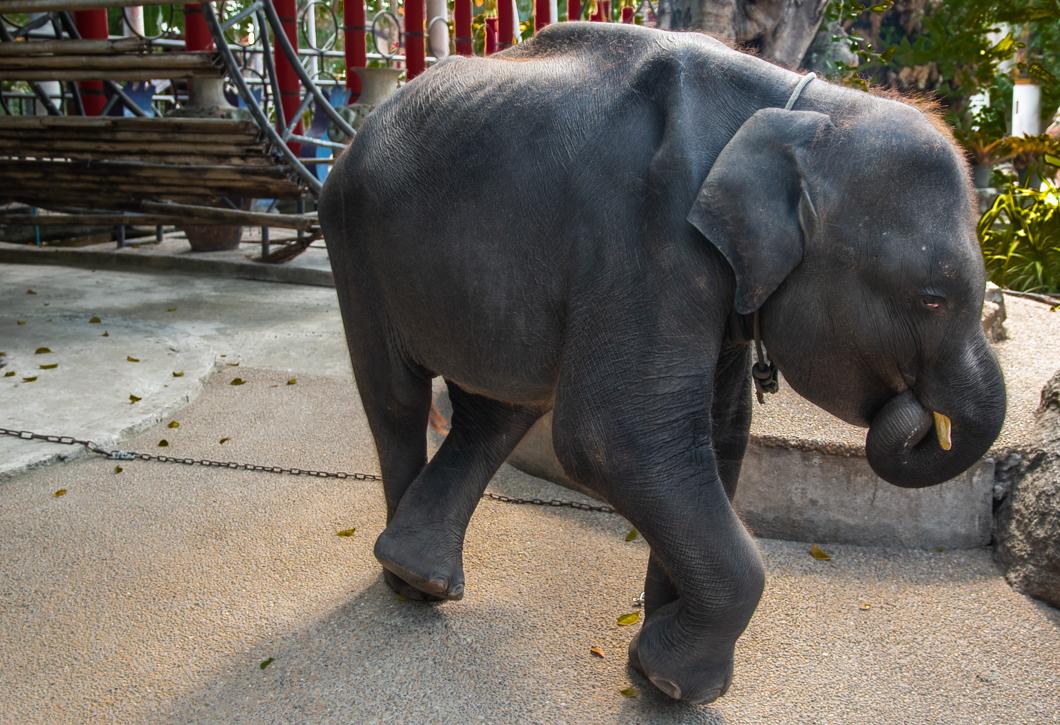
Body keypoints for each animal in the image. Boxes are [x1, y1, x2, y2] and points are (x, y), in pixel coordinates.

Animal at [317, 21, 1004, 703]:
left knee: (497, 412)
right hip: (352, 236)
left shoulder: (717, 281)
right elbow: (617, 439)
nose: (921, 413)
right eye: (932, 299)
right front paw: (679, 685)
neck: (800, 109)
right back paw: (405, 586)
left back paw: (419, 573)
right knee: (397, 401)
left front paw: (651, 668)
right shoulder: (647, 233)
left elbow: (718, 435)